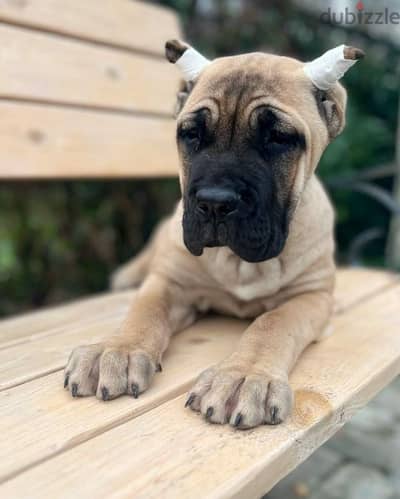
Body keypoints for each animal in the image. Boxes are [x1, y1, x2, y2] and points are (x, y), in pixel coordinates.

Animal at [64, 41, 364, 430]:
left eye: (279, 138)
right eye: (191, 134)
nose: (215, 203)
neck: (240, 262)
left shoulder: (311, 296)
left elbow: (273, 323)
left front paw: (244, 377)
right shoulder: (171, 281)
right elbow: (144, 310)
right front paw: (116, 349)